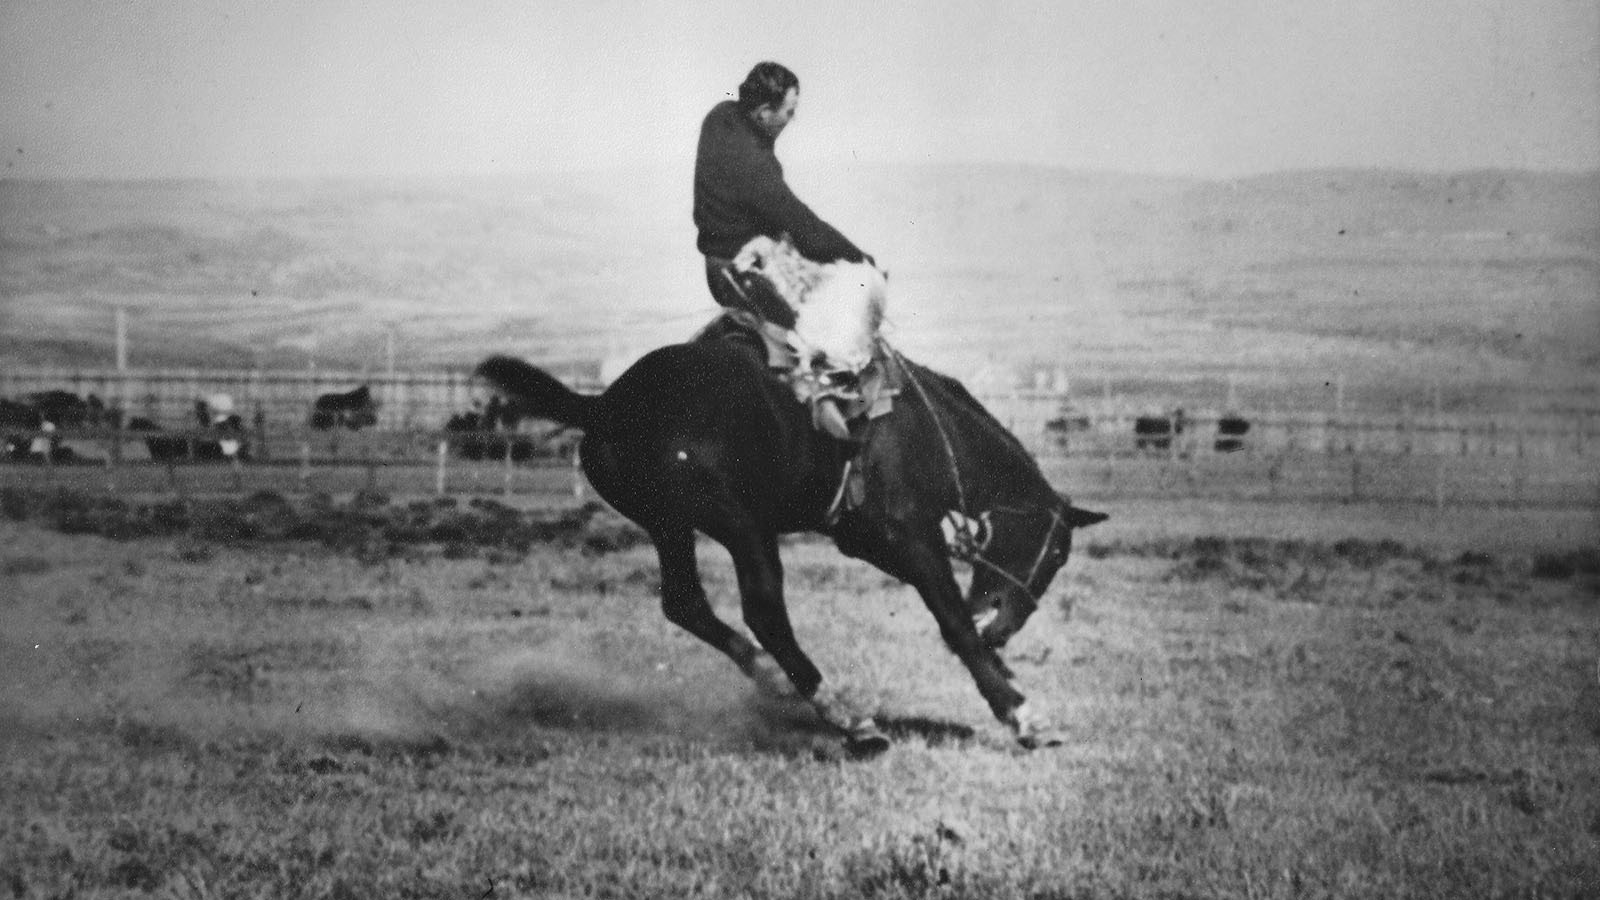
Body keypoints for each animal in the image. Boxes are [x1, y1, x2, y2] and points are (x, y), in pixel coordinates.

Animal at [473, 333, 1100, 752]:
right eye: (1057, 552)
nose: (1007, 626)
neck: (924, 431)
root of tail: (603, 404)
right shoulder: (913, 541)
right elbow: (955, 622)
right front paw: (1022, 715)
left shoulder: (871, 541)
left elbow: (959, 623)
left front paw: (1006, 675)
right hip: (738, 525)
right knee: (765, 611)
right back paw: (847, 719)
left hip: (669, 526)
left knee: (686, 603)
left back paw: (772, 678)